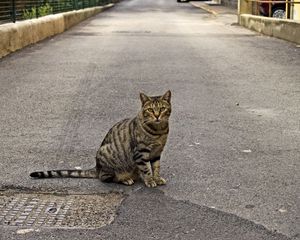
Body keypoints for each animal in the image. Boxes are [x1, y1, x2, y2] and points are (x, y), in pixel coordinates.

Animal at [30, 90, 172, 188]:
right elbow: (147, 169)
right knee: (105, 177)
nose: (157, 115)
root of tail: (97, 167)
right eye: (150, 110)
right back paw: (125, 179)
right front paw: (150, 180)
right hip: (107, 155)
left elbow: (156, 167)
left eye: (162, 108)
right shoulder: (140, 153)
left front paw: (157, 178)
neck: (159, 131)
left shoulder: (157, 152)